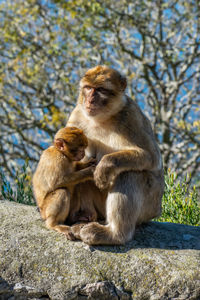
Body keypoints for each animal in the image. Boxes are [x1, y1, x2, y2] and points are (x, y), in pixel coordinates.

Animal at [67, 64, 164, 245]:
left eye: (100, 89)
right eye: (88, 88)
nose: (90, 100)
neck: (101, 119)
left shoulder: (132, 116)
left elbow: (152, 158)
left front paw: (105, 166)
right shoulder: (76, 116)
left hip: (150, 206)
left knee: (129, 173)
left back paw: (114, 234)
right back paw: (84, 219)